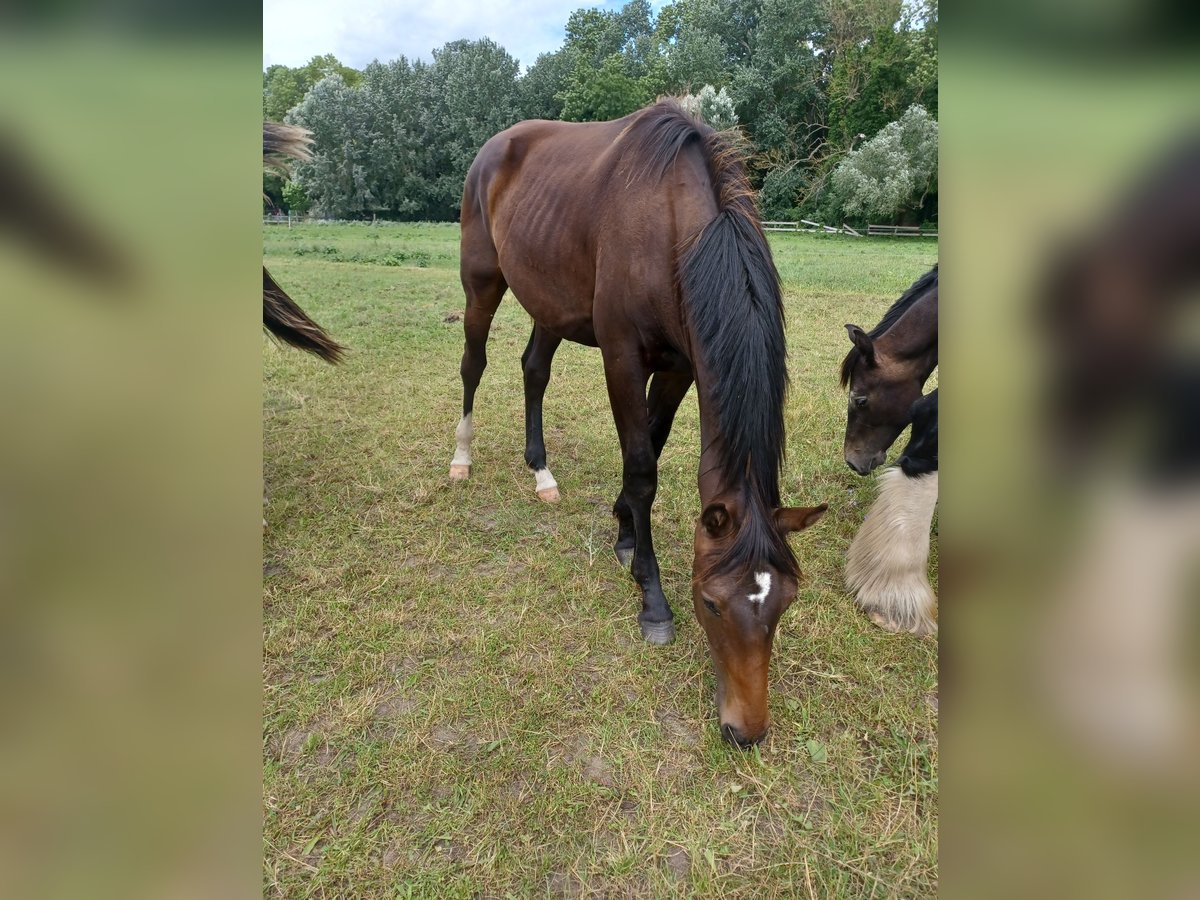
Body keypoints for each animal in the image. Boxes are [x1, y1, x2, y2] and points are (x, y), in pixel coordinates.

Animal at [448, 97, 825, 748]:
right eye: (711, 603)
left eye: (785, 603)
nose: (745, 731)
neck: (671, 226)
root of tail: (495, 146)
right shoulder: (622, 358)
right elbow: (643, 465)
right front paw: (650, 596)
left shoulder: (681, 366)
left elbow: (652, 439)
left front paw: (624, 530)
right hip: (483, 282)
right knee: (475, 363)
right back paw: (462, 457)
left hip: (548, 299)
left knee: (533, 370)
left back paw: (541, 473)